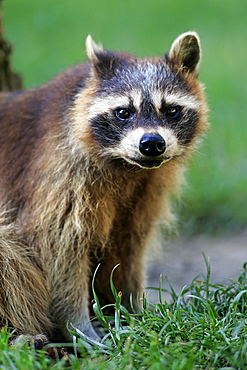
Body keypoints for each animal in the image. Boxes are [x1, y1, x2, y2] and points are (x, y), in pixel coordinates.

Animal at [0, 33, 208, 342]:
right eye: (123, 112)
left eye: (171, 110)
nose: (152, 143)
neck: (128, 168)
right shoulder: (59, 172)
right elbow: (57, 248)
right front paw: (77, 324)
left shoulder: (146, 190)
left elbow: (129, 247)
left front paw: (133, 309)